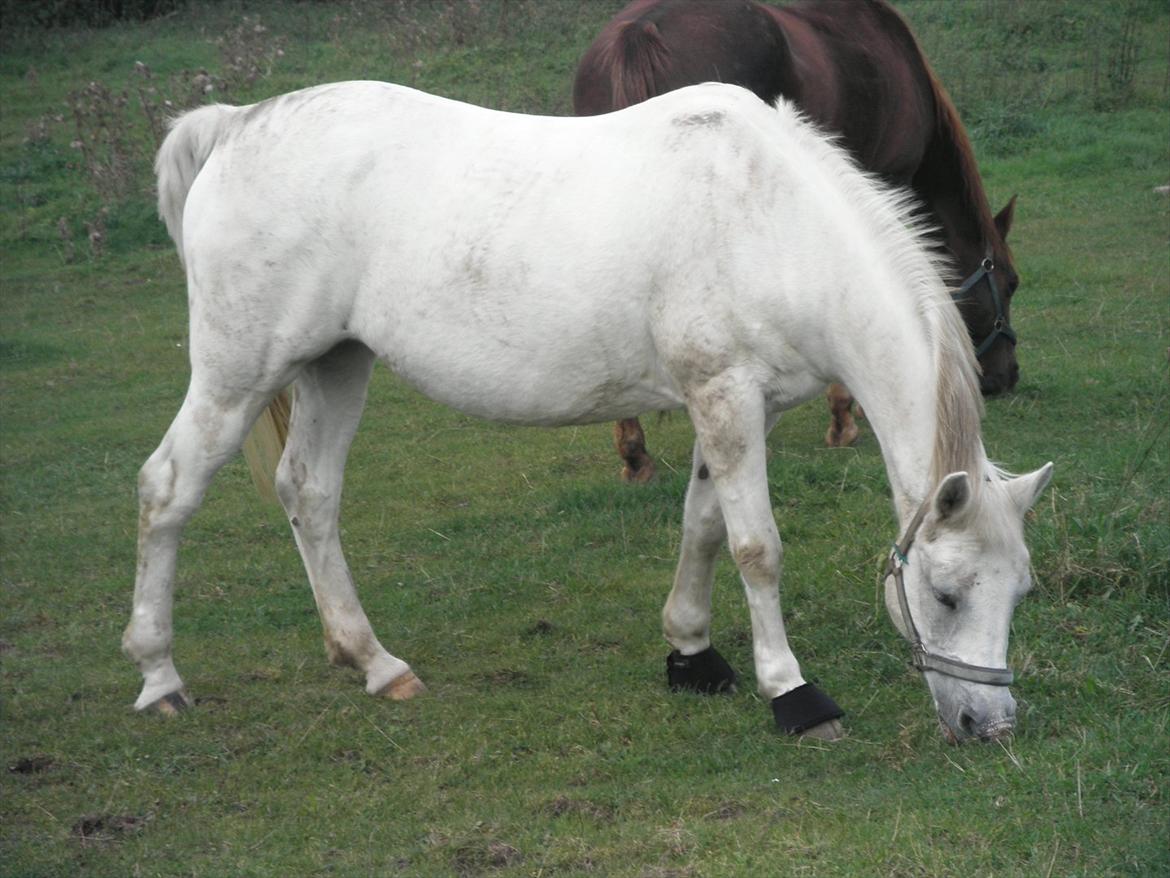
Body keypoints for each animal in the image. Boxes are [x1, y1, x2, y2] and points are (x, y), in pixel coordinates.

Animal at [125, 80, 1053, 744]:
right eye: (944, 595)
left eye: (1020, 592)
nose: (988, 725)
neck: (770, 220)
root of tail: (236, 126)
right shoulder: (724, 396)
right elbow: (756, 548)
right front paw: (792, 693)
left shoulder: (735, 408)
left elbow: (703, 526)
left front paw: (692, 654)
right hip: (238, 373)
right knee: (167, 490)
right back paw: (160, 678)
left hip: (334, 365)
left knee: (309, 493)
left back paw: (374, 662)